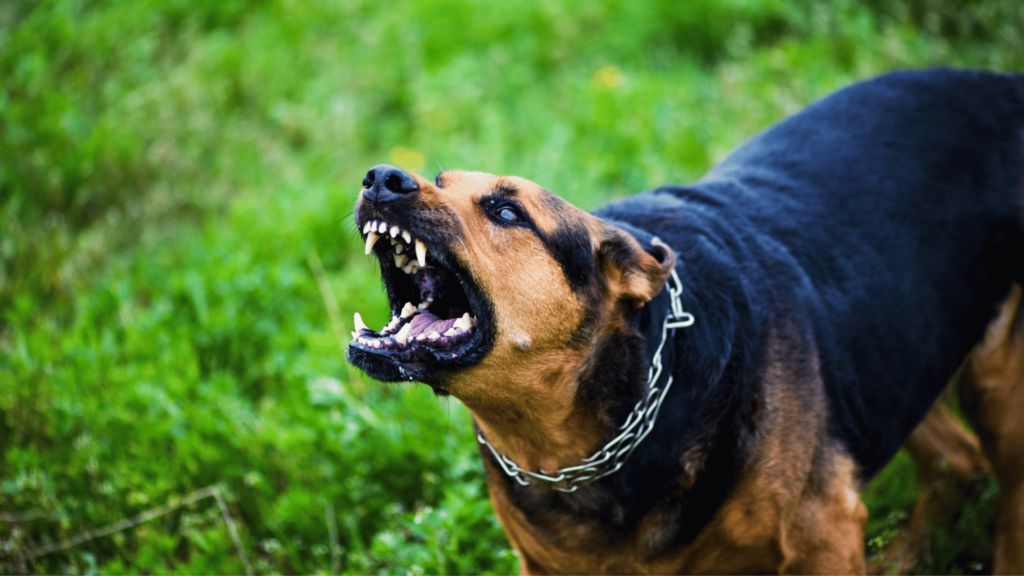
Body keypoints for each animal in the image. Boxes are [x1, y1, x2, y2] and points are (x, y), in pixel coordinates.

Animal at [348, 69, 1024, 569]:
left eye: (507, 212)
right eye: (440, 180)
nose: (382, 177)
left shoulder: (823, 532)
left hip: (997, 388)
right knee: (958, 461)